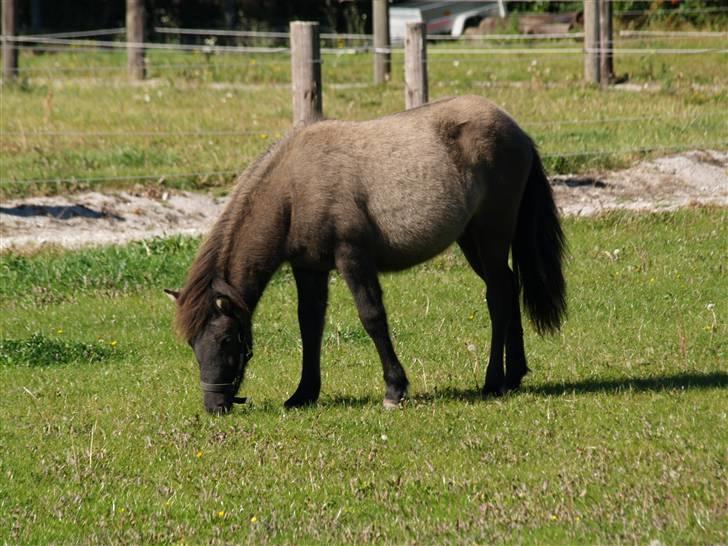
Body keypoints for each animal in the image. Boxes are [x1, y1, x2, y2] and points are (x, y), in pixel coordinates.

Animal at [168, 94, 564, 412]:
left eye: (226, 340)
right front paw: (304, 394)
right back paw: (514, 375)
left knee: (497, 295)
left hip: (490, 235)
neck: (294, 189)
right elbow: (310, 325)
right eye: (192, 344)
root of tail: (516, 130)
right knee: (509, 288)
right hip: (471, 241)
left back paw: (493, 380)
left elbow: (372, 317)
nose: (215, 405)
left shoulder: (352, 257)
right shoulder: (308, 268)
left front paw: (394, 389)